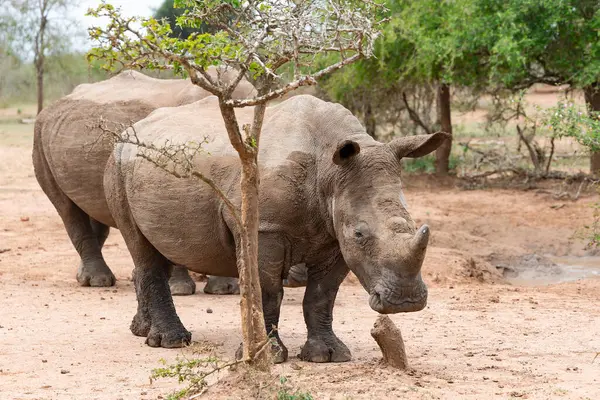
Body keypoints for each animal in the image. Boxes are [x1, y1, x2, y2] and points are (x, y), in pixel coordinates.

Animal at [105, 94, 448, 362]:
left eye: (414, 226)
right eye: (360, 234)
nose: (405, 303)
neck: (329, 169)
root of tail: (127, 132)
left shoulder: (335, 235)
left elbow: (322, 294)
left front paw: (329, 356)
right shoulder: (264, 228)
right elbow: (268, 290)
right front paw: (266, 356)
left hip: (136, 165)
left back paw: (142, 332)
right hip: (116, 164)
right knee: (140, 246)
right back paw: (172, 342)